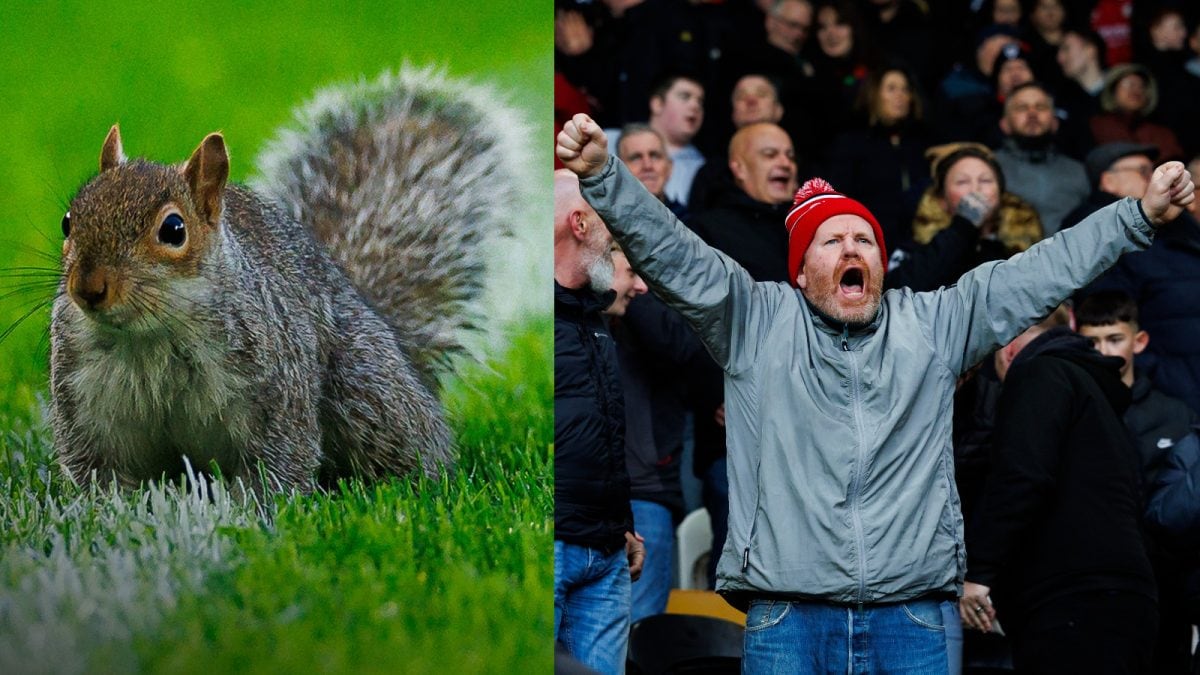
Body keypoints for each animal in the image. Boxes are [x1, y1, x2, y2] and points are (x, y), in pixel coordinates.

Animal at [49, 66, 530, 494]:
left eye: (174, 229)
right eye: (68, 222)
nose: (88, 288)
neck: (151, 336)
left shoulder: (276, 387)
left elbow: (280, 461)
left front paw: (251, 517)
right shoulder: (87, 403)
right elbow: (99, 473)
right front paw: (108, 515)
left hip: (366, 389)